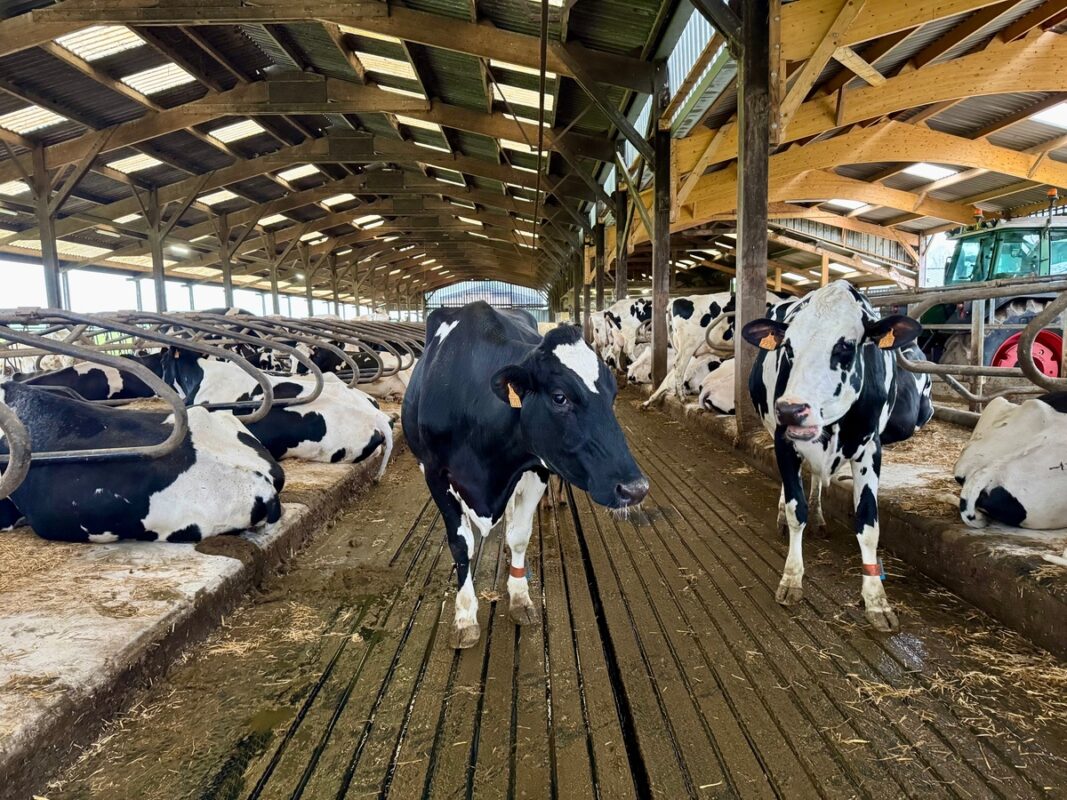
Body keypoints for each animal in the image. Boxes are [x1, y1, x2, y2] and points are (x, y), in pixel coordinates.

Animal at [401, 302, 644, 648]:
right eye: (560, 397)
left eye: (612, 396)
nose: (636, 488)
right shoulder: (435, 474)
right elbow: (461, 544)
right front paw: (464, 616)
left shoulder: (535, 468)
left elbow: (519, 535)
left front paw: (519, 597)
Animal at [742, 281, 934, 631]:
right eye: (788, 348)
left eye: (845, 346)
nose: (790, 409)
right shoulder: (783, 440)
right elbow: (795, 509)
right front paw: (792, 578)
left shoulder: (870, 448)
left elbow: (868, 524)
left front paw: (877, 601)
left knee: (817, 479)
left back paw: (819, 517)